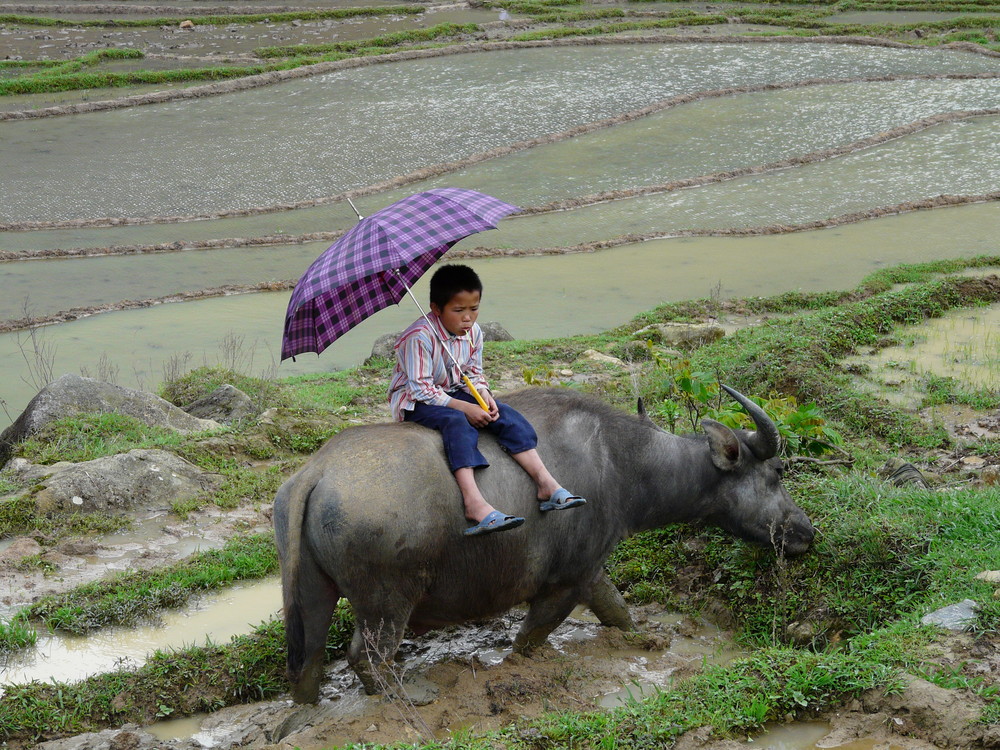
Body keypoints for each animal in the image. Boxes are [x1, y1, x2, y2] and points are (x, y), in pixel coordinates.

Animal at [274, 388, 812, 704]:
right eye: (776, 471)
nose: (805, 533)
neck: (622, 462)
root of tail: (316, 473)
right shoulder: (564, 582)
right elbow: (530, 638)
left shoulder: (591, 571)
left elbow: (618, 612)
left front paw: (647, 641)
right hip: (386, 602)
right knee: (366, 657)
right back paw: (408, 697)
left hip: (312, 593)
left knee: (309, 662)